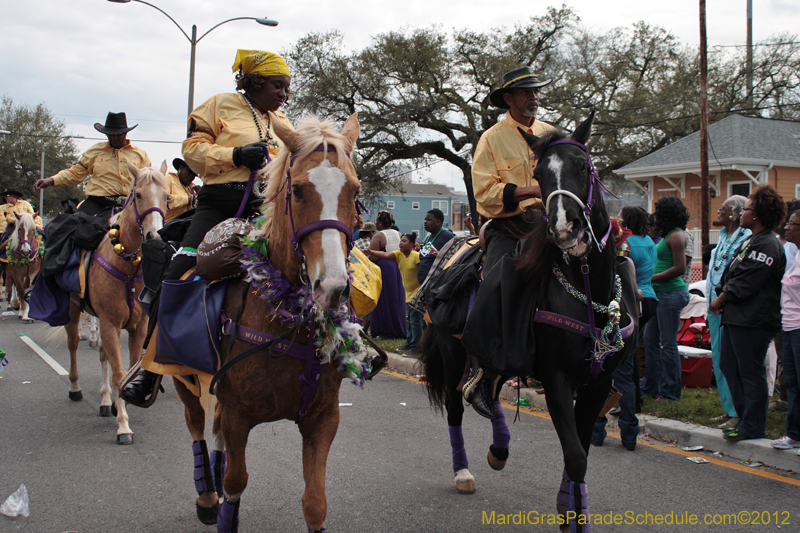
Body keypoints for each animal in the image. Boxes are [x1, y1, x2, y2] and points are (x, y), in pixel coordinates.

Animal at [66, 162, 170, 444]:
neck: (129, 268)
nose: (155, 236)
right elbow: (119, 372)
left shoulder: (138, 326)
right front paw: (123, 425)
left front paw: (117, 404)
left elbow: (127, 368)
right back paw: (75, 387)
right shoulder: (110, 323)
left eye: (168, 198)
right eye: (139, 195)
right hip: (73, 310)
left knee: (103, 355)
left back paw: (104, 401)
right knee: (73, 345)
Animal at [173, 114, 368, 528]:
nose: (332, 287)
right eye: (297, 190)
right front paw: (222, 502)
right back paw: (206, 495)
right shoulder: (237, 416)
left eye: (354, 190)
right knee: (196, 425)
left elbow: (315, 502)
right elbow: (236, 481)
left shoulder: (322, 419)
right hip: (183, 379)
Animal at [422, 110, 636, 528]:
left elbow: (580, 454)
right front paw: (572, 518)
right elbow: (576, 457)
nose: (566, 227)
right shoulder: (556, 378)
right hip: (452, 352)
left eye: (583, 166)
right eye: (538, 175)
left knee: (488, 391)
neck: (586, 285)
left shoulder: (598, 382)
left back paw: (499, 447)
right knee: (457, 404)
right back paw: (464, 471)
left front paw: (571, 509)